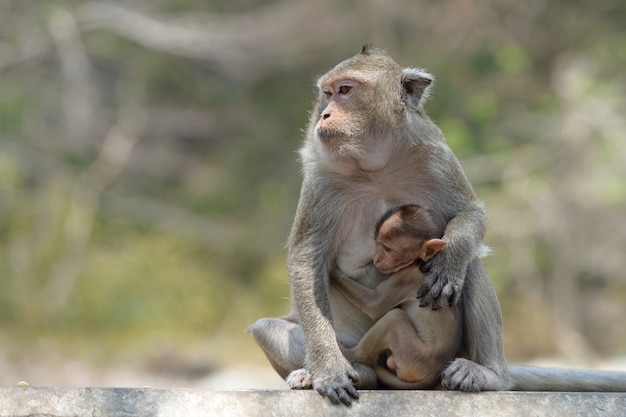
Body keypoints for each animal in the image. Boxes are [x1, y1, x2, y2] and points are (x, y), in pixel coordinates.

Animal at [332, 204, 458, 386]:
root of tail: (433, 375)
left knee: (394, 318)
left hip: (413, 355)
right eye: (378, 244)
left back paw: (349, 354)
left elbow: (374, 304)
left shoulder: (407, 277)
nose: (376, 259)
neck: (419, 263)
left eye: (388, 249)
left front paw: (330, 270)